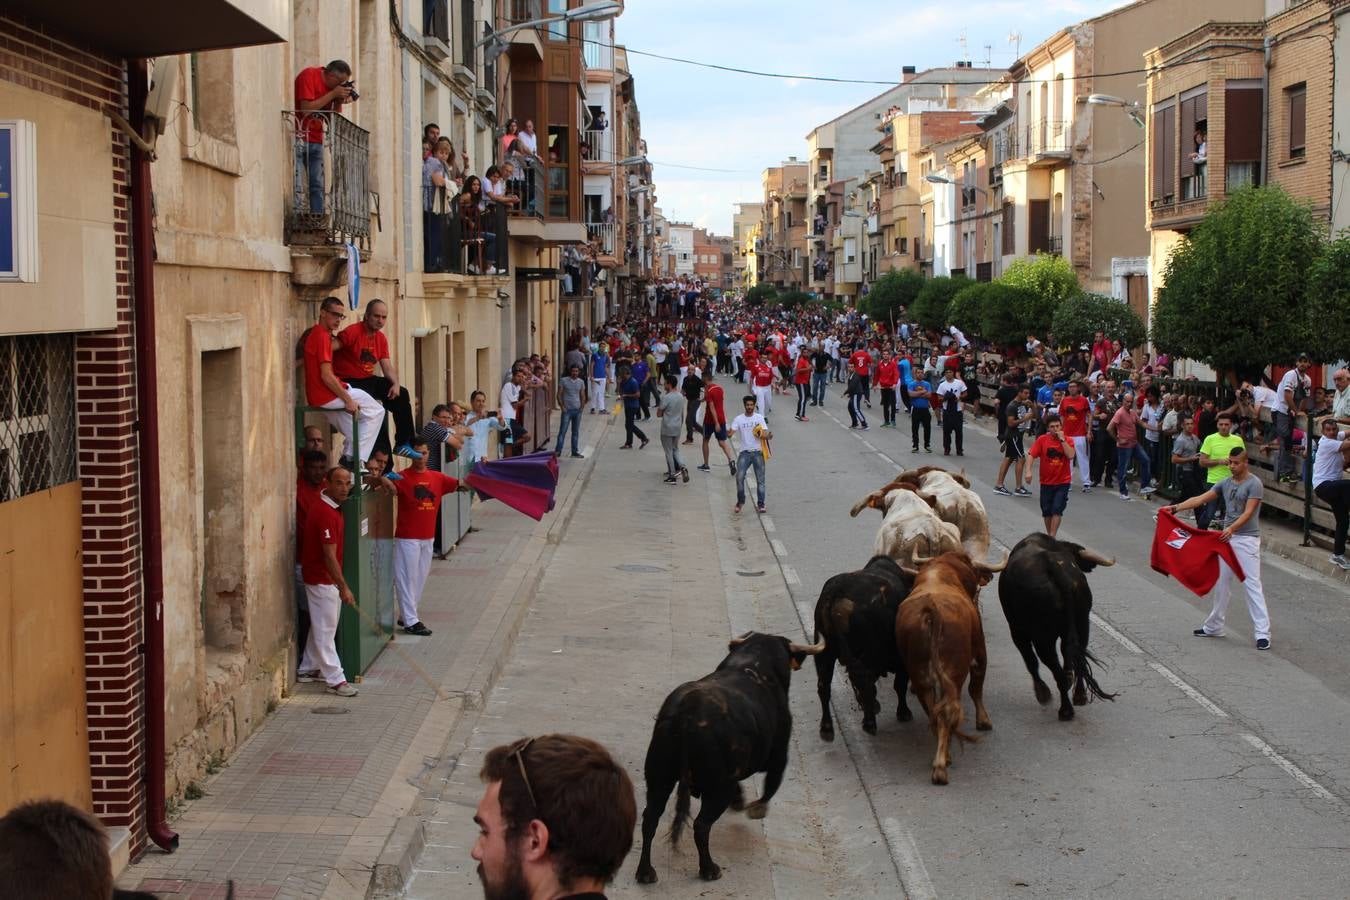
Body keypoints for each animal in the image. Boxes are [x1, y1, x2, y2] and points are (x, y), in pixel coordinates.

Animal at [634, 631, 820, 885]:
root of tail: (687, 712)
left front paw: (741, 801)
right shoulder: (779, 754)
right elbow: (771, 784)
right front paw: (756, 809)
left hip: (659, 777)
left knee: (650, 818)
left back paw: (645, 872)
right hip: (717, 787)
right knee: (702, 825)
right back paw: (709, 869)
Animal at [810, 555, 918, 739]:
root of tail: (836, 593)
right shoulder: (900, 658)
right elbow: (900, 684)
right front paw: (903, 712)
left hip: (824, 652)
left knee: (824, 686)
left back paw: (827, 728)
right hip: (866, 654)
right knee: (865, 682)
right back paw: (869, 722)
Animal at [896, 545, 1004, 782]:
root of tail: (931, 612)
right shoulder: (979, 653)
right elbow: (976, 689)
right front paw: (984, 721)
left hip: (920, 676)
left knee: (932, 709)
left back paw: (943, 757)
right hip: (954, 673)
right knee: (947, 710)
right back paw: (940, 766)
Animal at [999, 531, 1123, 723]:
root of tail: (1052, 564)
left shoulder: (1017, 631)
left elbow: (1030, 661)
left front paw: (1042, 692)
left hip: (1042, 638)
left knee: (1052, 667)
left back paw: (1065, 710)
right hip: (1082, 623)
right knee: (1077, 657)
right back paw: (1079, 696)